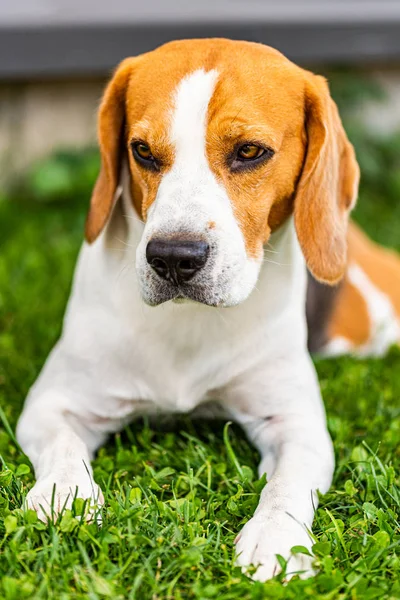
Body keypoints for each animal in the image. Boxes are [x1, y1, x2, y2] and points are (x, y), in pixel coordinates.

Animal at [15, 38, 400, 580]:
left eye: (249, 152)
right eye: (142, 151)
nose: (174, 258)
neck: (189, 322)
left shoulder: (297, 424)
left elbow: (286, 486)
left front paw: (275, 538)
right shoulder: (51, 404)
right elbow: (63, 448)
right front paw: (63, 496)